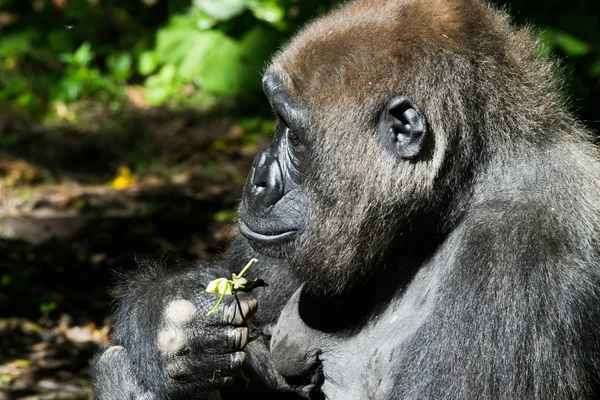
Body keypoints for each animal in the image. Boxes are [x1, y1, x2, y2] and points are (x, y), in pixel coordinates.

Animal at [91, 0, 600, 398]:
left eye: (294, 136)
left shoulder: (518, 248)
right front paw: (169, 327)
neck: (459, 192)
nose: (257, 177)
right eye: (276, 120)